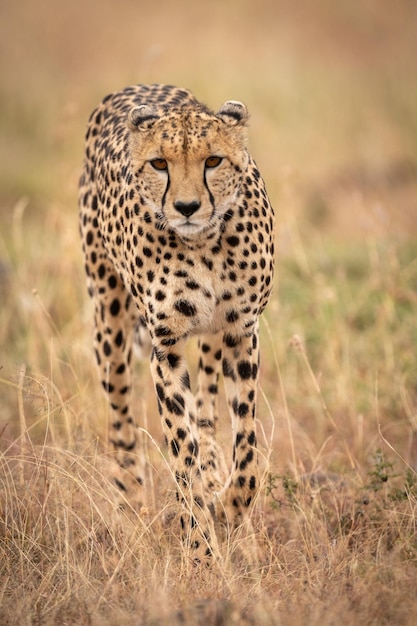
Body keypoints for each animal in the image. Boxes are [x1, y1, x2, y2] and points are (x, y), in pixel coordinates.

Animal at [79, 83, 272, 560]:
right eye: (159, 164)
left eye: (213, 161)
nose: (186, 206)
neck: (204, 242)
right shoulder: (164, 348)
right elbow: (181, 451)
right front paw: (201, 547)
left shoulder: (241, 332)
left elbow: (247, 447)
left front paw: (230, 505)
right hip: (109, 323)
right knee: (121, 420)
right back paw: (130, 500)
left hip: (211, 339)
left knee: (206, 405)